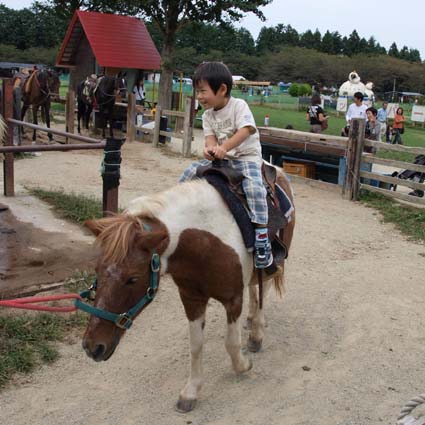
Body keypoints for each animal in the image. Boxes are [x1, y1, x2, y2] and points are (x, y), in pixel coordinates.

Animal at [78, 169, 294, 410]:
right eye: (96, 269)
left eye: (132, 279)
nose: (92, 347)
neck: (205, 242)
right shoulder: (191, 299)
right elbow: (196, 345)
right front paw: (191, 392)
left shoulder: (233, 299)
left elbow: (231, 342)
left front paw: (243, 365)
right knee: (254, 291)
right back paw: (250, 320)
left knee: (263, 292)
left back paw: (256, 332)